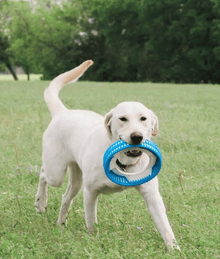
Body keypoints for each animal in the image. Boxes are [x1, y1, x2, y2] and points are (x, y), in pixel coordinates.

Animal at [34, 60, 179, 251]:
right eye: (123, 118)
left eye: (143, 118)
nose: (137, 137)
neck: (124, 162)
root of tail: (62, 112)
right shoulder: (90, 192)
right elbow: (90, 221)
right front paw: (93, 240)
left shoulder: (152, 194)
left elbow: (165, 226)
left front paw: (174, 248)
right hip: (56, 173)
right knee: (43, 174)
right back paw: (40, 202)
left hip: (76, 181)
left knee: (65, 197)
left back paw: (61, 223)